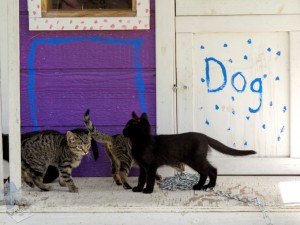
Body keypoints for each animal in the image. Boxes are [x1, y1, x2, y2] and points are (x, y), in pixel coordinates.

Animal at [123, 112, 256, 193]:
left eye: (128, 126)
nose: (123, 130)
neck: (141, 141)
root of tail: (203, 136)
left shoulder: (151, 166)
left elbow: (150, 178)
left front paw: (148, 190)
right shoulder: (142, 166)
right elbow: (141, 178)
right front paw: (138, 189)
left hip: (196, 159)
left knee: (212, 170)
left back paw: (209, 186)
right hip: (194, 161)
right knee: (204, 173)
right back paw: (199, 186)